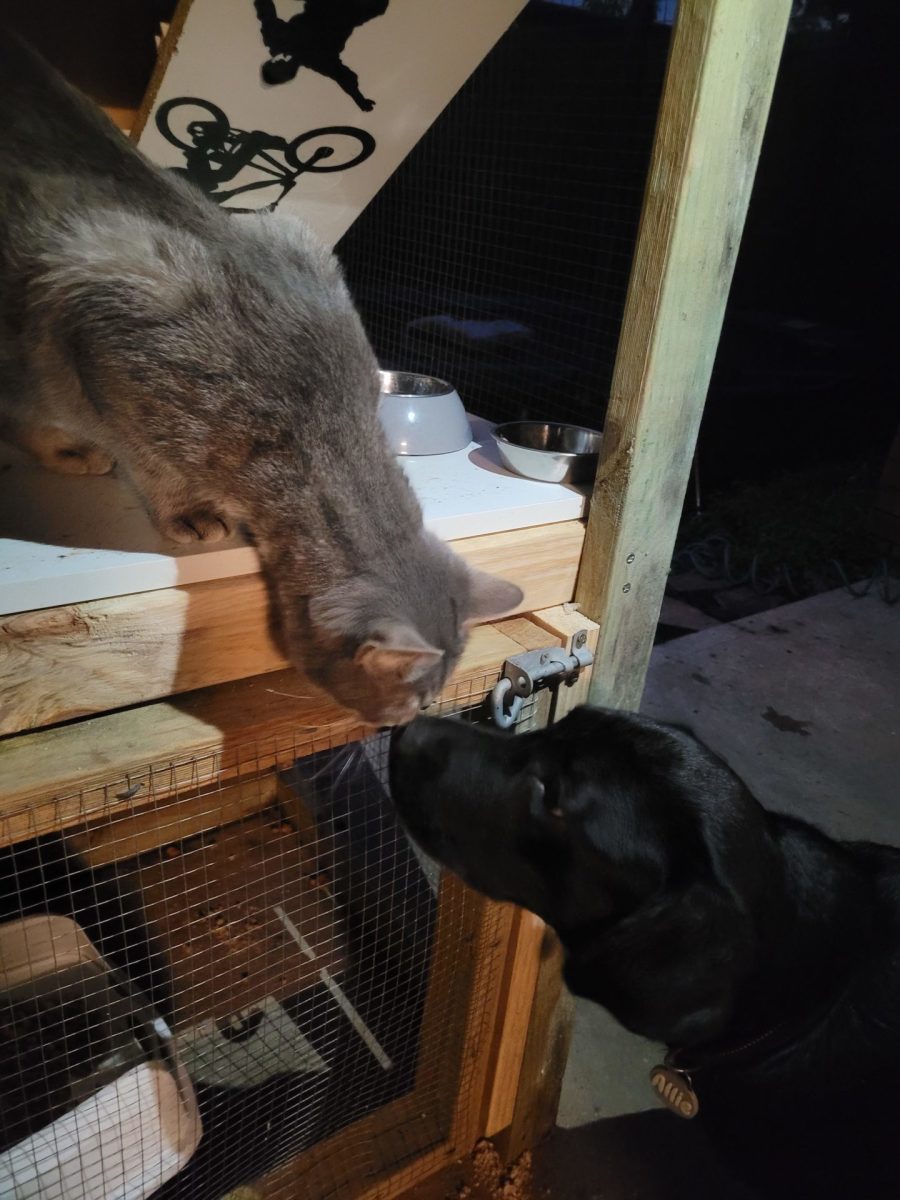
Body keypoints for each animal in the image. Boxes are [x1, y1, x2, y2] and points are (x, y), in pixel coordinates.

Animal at [0, 34, 523, 726]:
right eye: (411, 703)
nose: (404, 726)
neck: (317, 423)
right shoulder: (100, 327)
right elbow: (150, 461)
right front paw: (189, 511)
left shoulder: (285, 233)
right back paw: (68, 449)